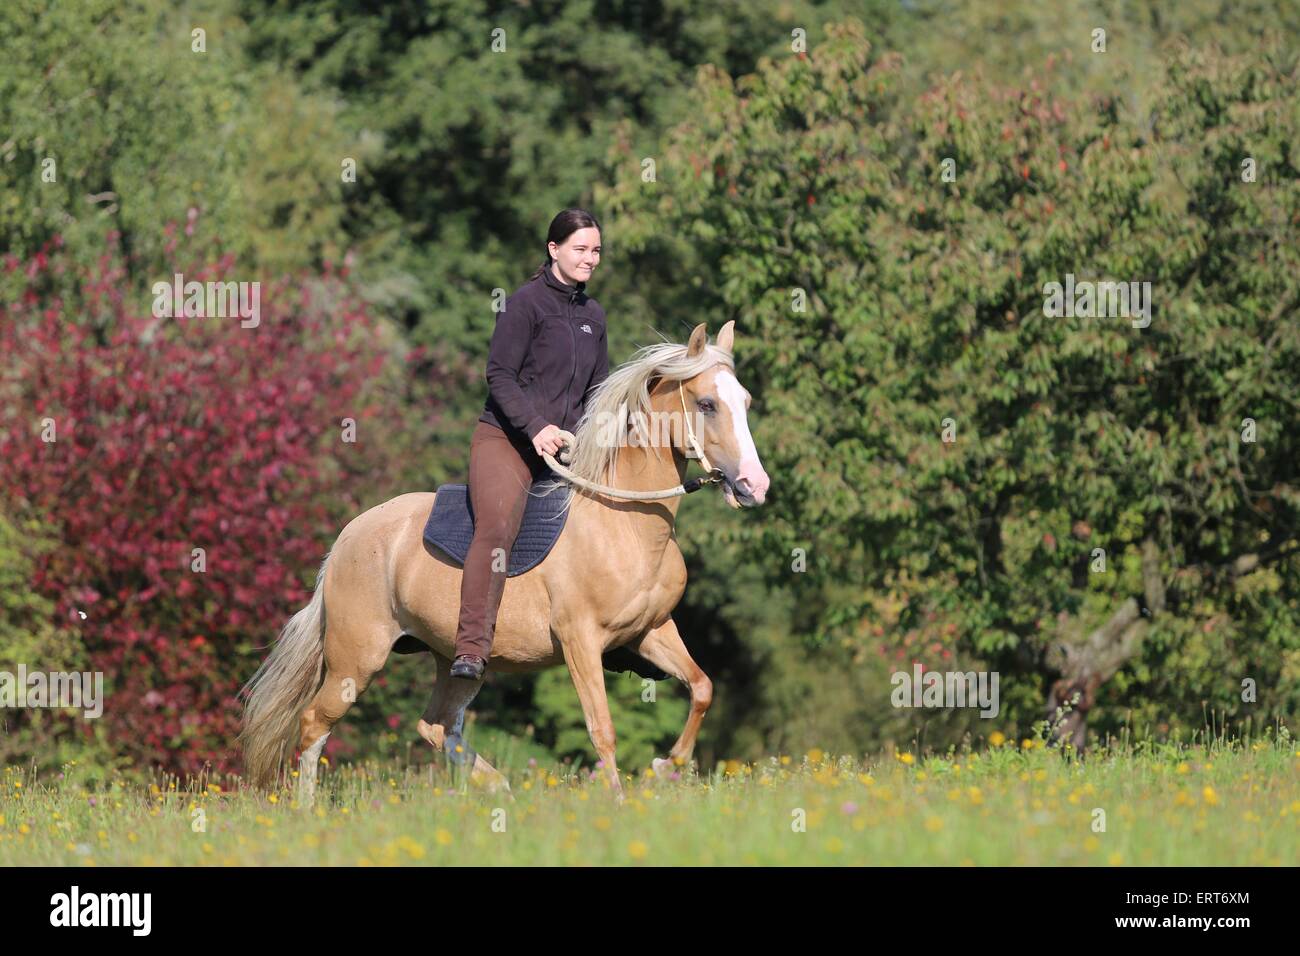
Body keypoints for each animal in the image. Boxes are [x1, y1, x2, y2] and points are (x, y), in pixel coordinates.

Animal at [239, 321, 764, 801]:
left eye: (745, 401)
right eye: (706, 404)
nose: (754, 486)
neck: (625, 524)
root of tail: (347, 539)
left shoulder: (650, 631)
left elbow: (702, 687)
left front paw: (665, 765)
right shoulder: (580, 641)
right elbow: (602, 728)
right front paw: (618, 802)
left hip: (453, 658)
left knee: (436, 725)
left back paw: (498, 785)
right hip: (357, 659)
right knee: (314, 724)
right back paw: (310, 814)